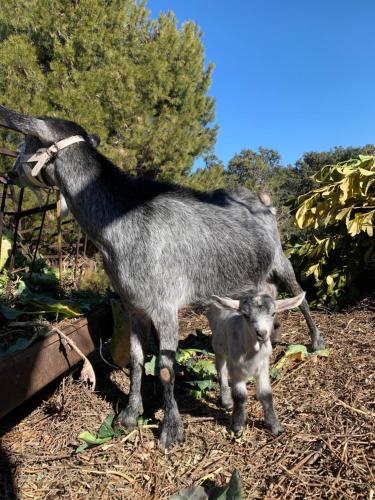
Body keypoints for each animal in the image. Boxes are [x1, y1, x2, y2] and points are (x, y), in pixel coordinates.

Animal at [207, 292, 306, 436]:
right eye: (245, 315)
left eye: (273, 313)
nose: (261, 333)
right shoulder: (235, 369)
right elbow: (240, 396)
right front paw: (238, 424)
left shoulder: (263, 366)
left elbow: (266, 394)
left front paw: (275, 426)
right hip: (219, 348)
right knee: (221, 371)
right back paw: (226, 400)